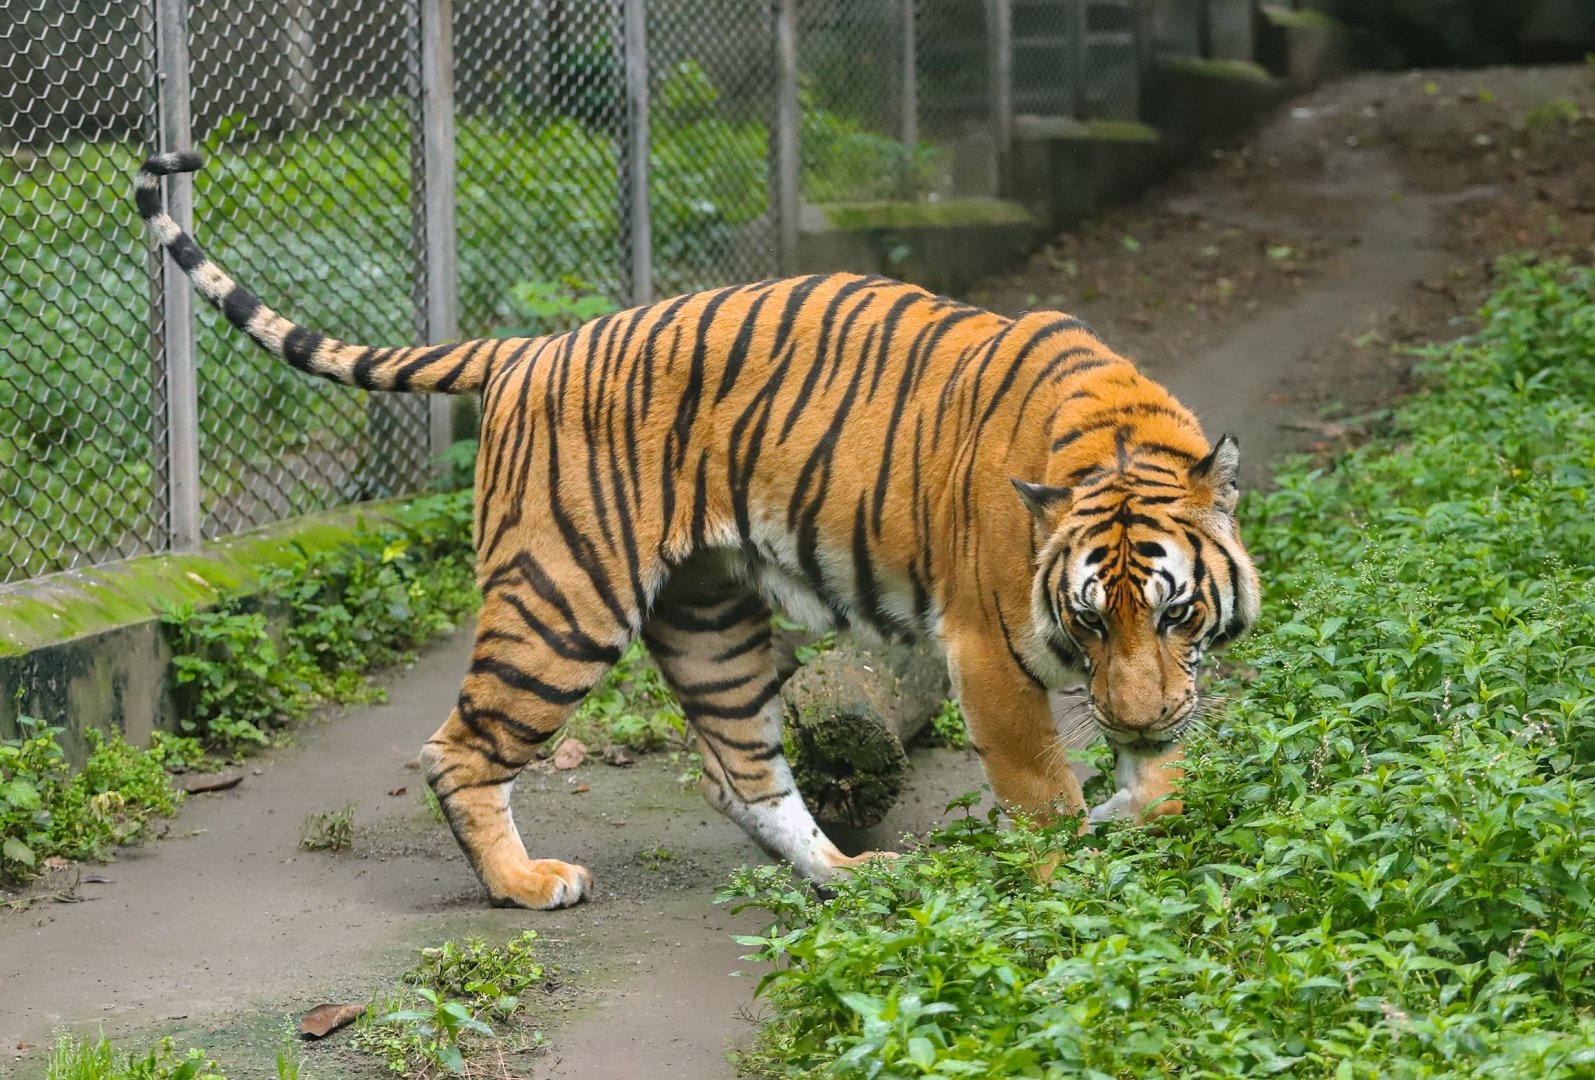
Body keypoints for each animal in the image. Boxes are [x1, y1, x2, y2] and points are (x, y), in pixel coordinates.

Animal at [136, 151, 1260, 910]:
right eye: (1087, 619)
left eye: (1171, 615)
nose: (1134, 718)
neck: (1119, 435)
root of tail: (524, 348)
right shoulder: (986, 652)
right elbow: (1040, 795)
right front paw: (1067, 886)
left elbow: (1157, 782)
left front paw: (1138, 808)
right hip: (563, 603)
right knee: (459, 749)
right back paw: (523, 882)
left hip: (707, 616)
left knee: (741, 773)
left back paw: (847, 874)